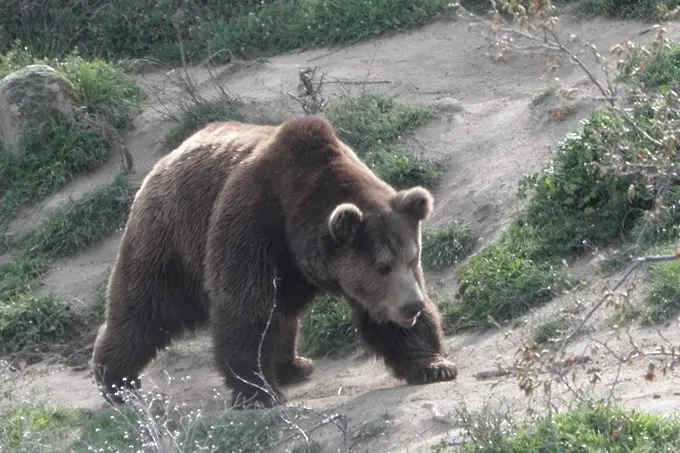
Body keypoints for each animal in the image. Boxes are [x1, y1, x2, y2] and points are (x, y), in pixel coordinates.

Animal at [90, 112, 460, 406]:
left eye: (411, 259)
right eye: (383, 266)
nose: (412, 305)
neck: (296, 216)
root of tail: (165, 159)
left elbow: (382, 320)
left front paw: (434, 365)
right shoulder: (252, 224)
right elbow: (245, 309)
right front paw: (258, 392)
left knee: (282, 313)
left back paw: (294, 365)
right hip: (171, 237)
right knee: (146, 307)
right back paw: (117, 381)